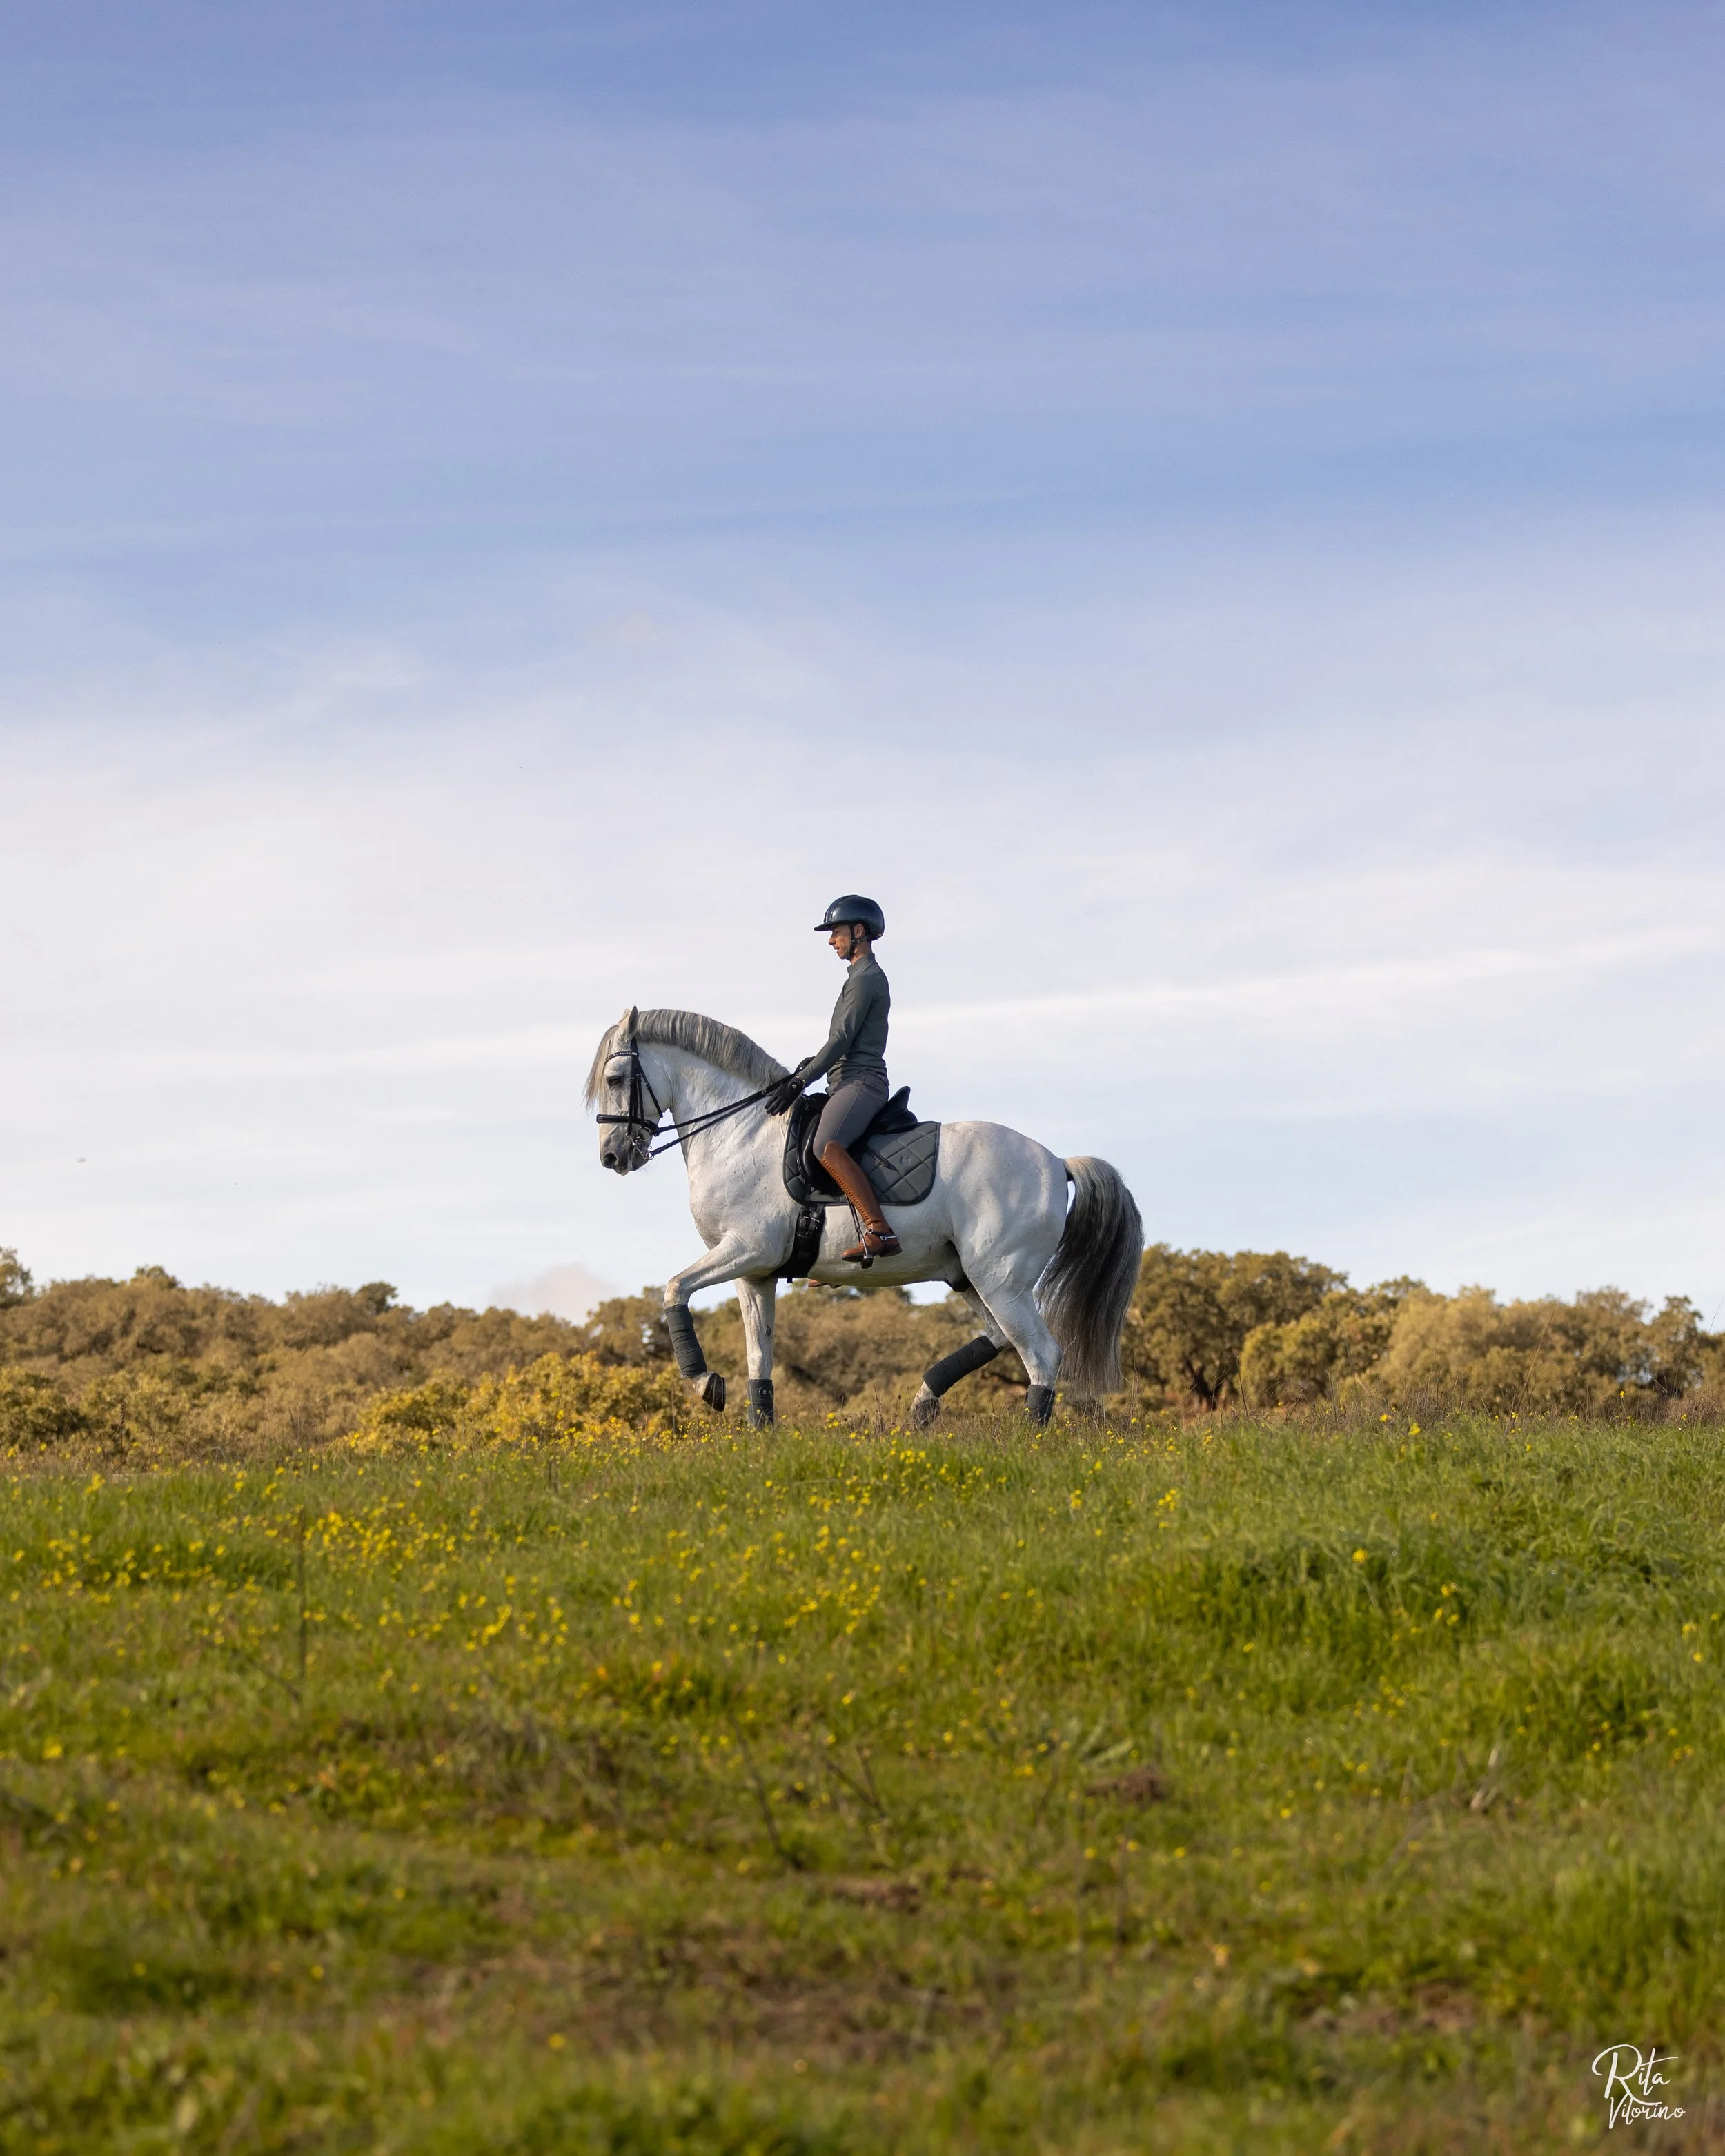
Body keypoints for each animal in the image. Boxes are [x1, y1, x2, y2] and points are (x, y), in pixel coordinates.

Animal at [587, 1005, 1143, 1429]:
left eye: (615, 1079)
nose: (612, 1157)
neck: (740, 1133)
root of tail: (1057, 1162)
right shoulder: (754, 1272)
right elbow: (759, 1357)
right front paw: (760, 1432)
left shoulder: (746, 1249)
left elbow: (674, 1290)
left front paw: (705, 1384)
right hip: (970, 1276)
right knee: (1000, 1338)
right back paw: (922, 1405)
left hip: (1001, 1279)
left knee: (1042, 1356)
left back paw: (1029, 1439)